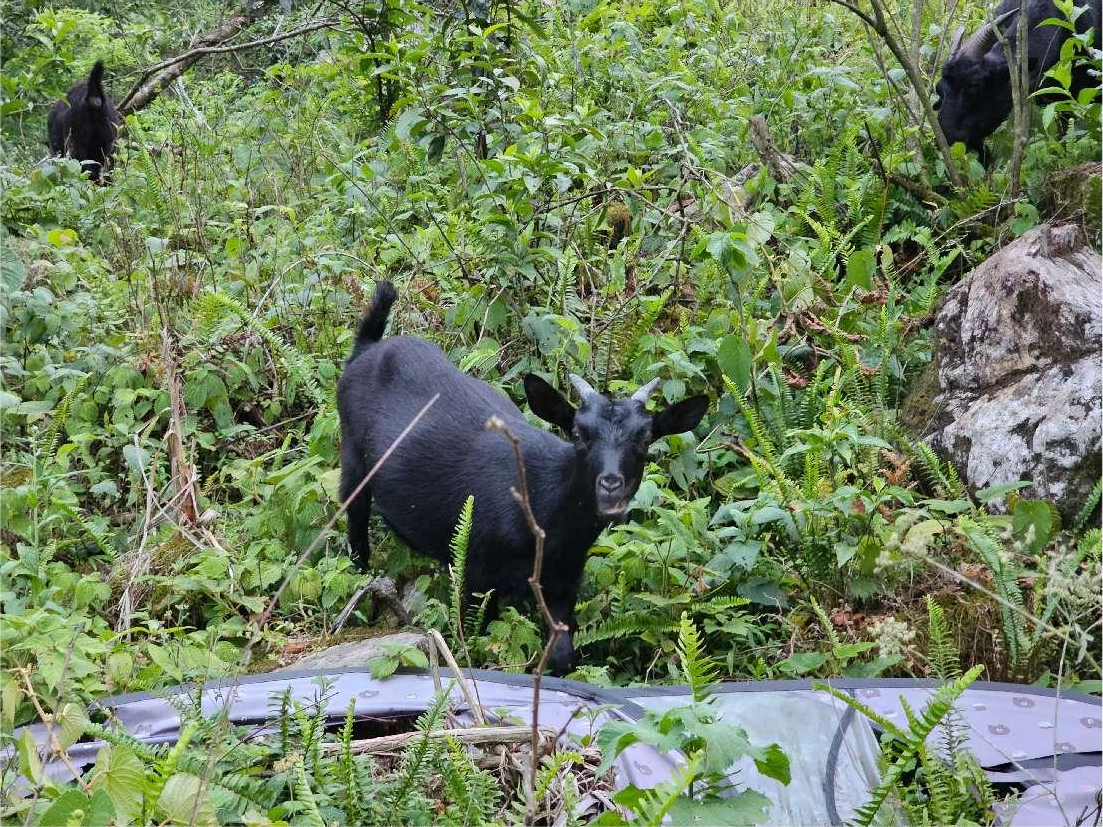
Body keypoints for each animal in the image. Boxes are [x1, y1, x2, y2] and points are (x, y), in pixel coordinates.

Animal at [335, 282, 710, 674]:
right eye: (579, 434)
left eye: (645, 439)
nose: (610, 484)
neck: (543, 509)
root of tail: (367, 348)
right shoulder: (476, 572)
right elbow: (474, 638)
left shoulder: (563, 582)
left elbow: (562, 655)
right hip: (353, 460)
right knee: (354, 523)